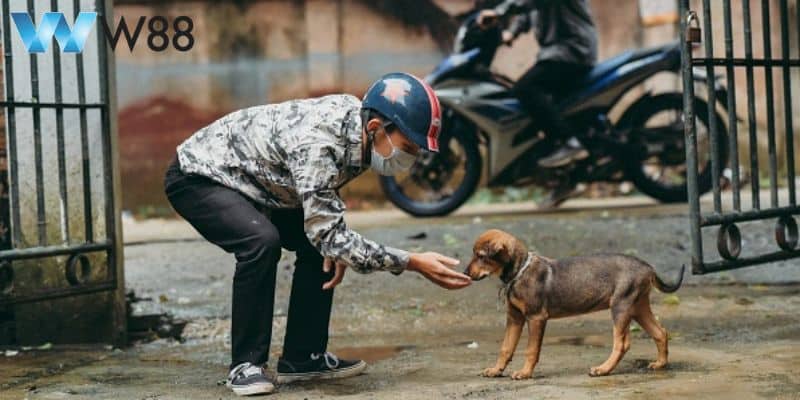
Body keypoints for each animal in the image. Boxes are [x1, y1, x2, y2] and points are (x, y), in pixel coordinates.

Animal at [466, 230, 684, 380]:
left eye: (481, 256)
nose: (466, 273)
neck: (519, 271)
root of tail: (648, 267)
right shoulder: (514, 318)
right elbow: (506, 347)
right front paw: (496, 370)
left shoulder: (536, 318)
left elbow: (531, 349)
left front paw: (525, 373)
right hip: (638, 307)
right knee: (660, 332)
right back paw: (660, 364)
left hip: (621, 307)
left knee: (622, 343)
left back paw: (603, 369)